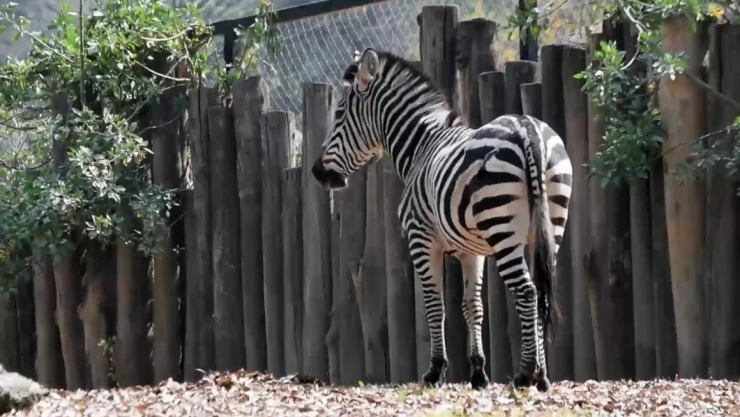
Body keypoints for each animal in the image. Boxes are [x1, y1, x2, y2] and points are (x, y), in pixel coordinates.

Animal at [311, 48, 573, 392]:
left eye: (339, 114)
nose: (317, 172)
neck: (421, 146)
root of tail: (526, 128)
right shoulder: (473, 251)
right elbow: (472, 306)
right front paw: (478, 373)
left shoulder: (421, 239)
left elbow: (435, 305)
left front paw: (435, 371)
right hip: (551, 225)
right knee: (540, 291)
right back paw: (541, 376)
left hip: (503, 230)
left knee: (527, 291)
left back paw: (526, 374)